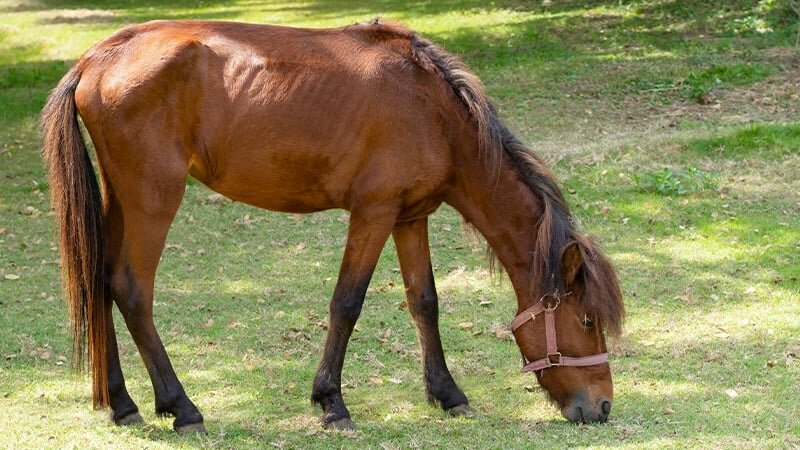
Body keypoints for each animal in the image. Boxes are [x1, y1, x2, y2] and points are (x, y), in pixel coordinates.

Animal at [41, 19, 624, 433]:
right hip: (153, 200)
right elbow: (347, 303)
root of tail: (97, 58)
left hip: (122, 199)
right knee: (131, 289)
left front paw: (447, 394)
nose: (600, 406)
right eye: (587, 320)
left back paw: (122, 404)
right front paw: (332, 402)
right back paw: (181, 407)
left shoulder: (410, 217)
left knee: (99, 281)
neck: (432, 110)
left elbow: (425, 303)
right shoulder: (372, 214)